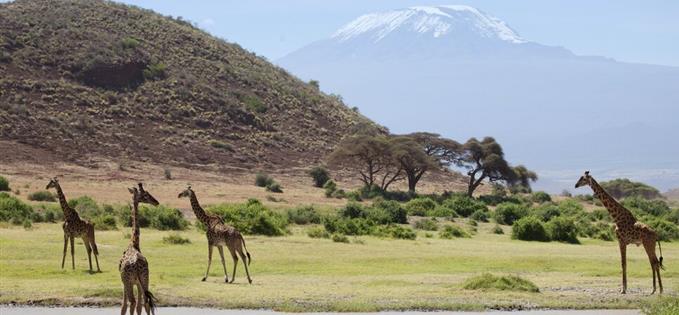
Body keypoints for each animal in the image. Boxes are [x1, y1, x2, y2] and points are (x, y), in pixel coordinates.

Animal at [120, 183, 160, 315]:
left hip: (130, 281)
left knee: (132, 302)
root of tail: (137, 264)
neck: (134, 243)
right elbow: (139, 306)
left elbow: (124, 306)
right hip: (145, 278)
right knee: (146, 302)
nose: (156, 202)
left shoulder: (125, 281)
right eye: (145, 195)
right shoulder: (137, 282)